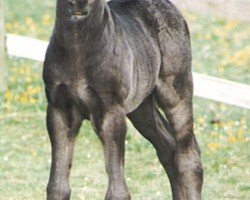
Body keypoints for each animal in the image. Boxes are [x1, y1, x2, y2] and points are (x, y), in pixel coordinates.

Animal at [43, 0, 203, 200]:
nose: (79, 4)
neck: (77, 50)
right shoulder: (59, 109)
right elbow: (57, 186)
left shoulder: (112, 112)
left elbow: (117, 190)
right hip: (141, 107)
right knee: (168, 146)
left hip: (176, 91)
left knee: (189, 157)